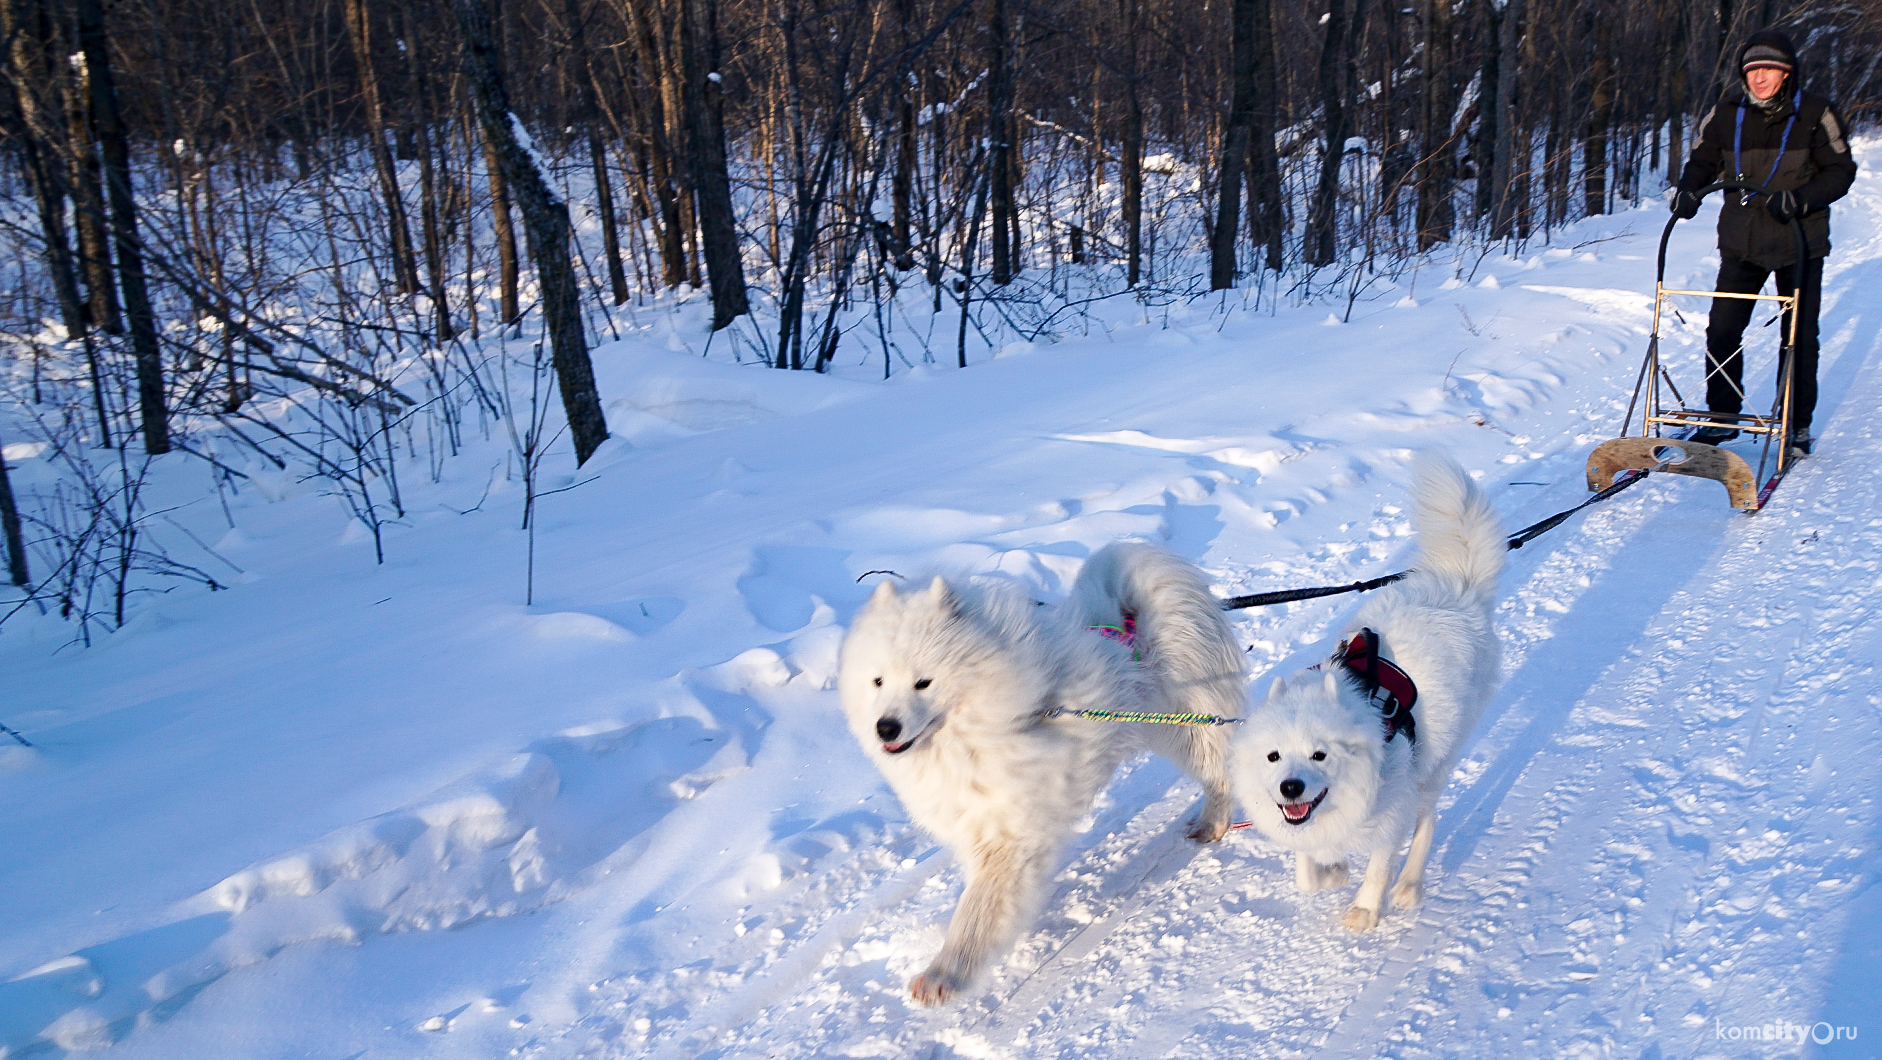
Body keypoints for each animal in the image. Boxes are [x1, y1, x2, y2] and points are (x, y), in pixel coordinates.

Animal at [1227, 451, 1505, 933]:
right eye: (1273, 756)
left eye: (1320, 755)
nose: (1290, 788)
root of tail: (1457, 585)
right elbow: (1307, 873)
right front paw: (1333, 870)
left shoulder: (1393, 808)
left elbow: (1378, 866)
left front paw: (1364, 910)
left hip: (1434, 764)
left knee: (1428, 820)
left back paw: (1410, 886)